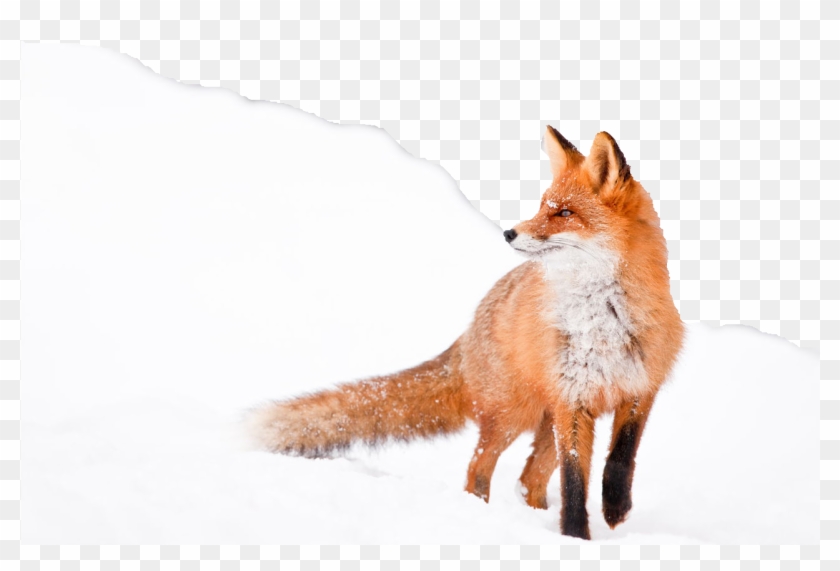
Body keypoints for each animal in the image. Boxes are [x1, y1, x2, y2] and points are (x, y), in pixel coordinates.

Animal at [248, 126, 684, 540]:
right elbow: (574, 482)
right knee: (479, 468)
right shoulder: (572, 400)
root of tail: (468, 330)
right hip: (513, 416)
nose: (509, 233)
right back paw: (484, 515)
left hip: (540, 421)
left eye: (564, 212)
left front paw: (614, 509)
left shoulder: (640, 388)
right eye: (542, 205)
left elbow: (621, 458)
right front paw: (576, 538)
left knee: (528, 481)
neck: (602, 322)